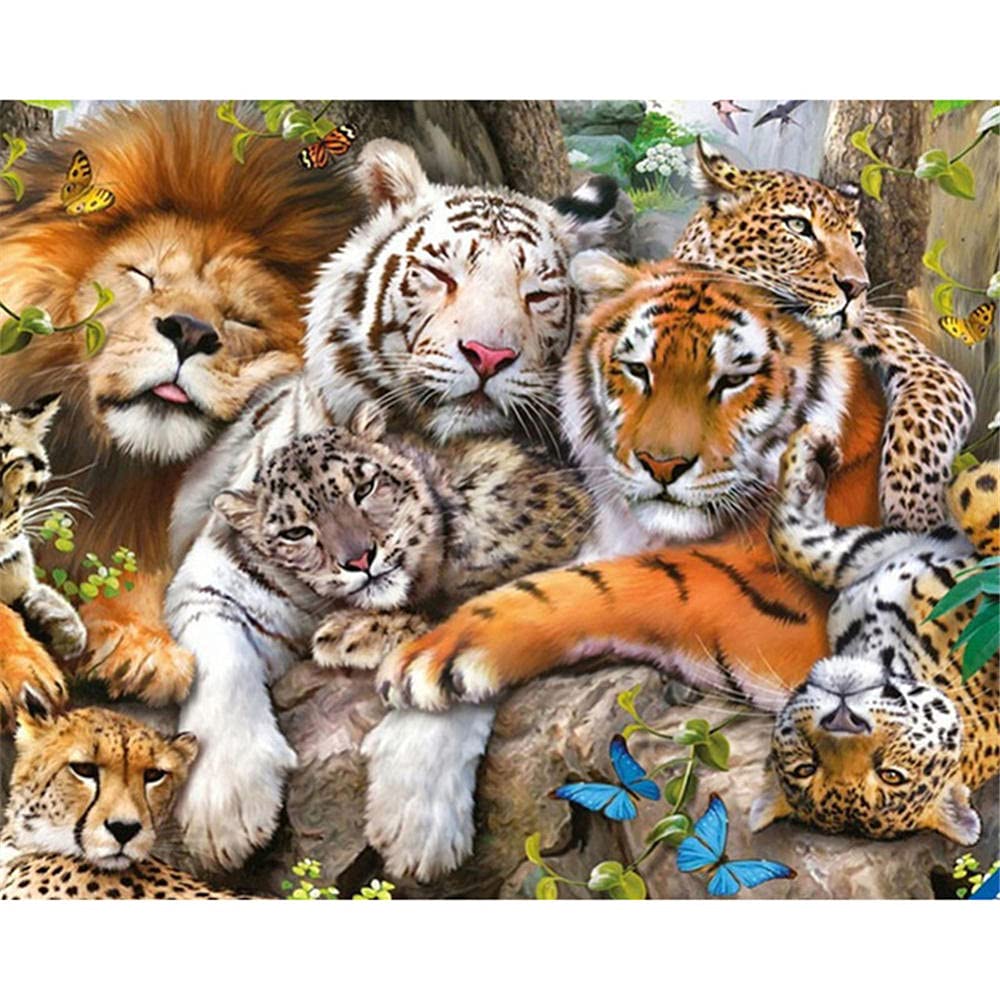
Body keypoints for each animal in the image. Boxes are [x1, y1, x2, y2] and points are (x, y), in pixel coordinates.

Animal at [164, 138, 618, 872]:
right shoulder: (215, 577)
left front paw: (415, 818)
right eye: (439, 274)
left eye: (540, 294)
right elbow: (218, 665)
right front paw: (225, 809)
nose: (488, 354)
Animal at [673, 138, 977, 534]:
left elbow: (919, 432)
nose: (857, 286)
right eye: (798, 226)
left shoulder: (927, 367)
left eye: (856, 239)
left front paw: (915, 517)